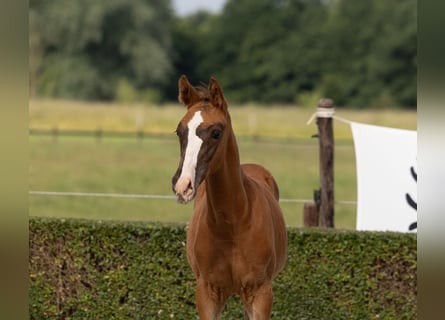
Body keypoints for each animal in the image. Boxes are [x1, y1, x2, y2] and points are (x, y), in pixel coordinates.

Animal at [172, 76, 286, 318]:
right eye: (179, 131)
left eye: (216, 132)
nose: (183, 185)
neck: (232, 223)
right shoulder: (207, 292)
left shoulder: (260, 293)